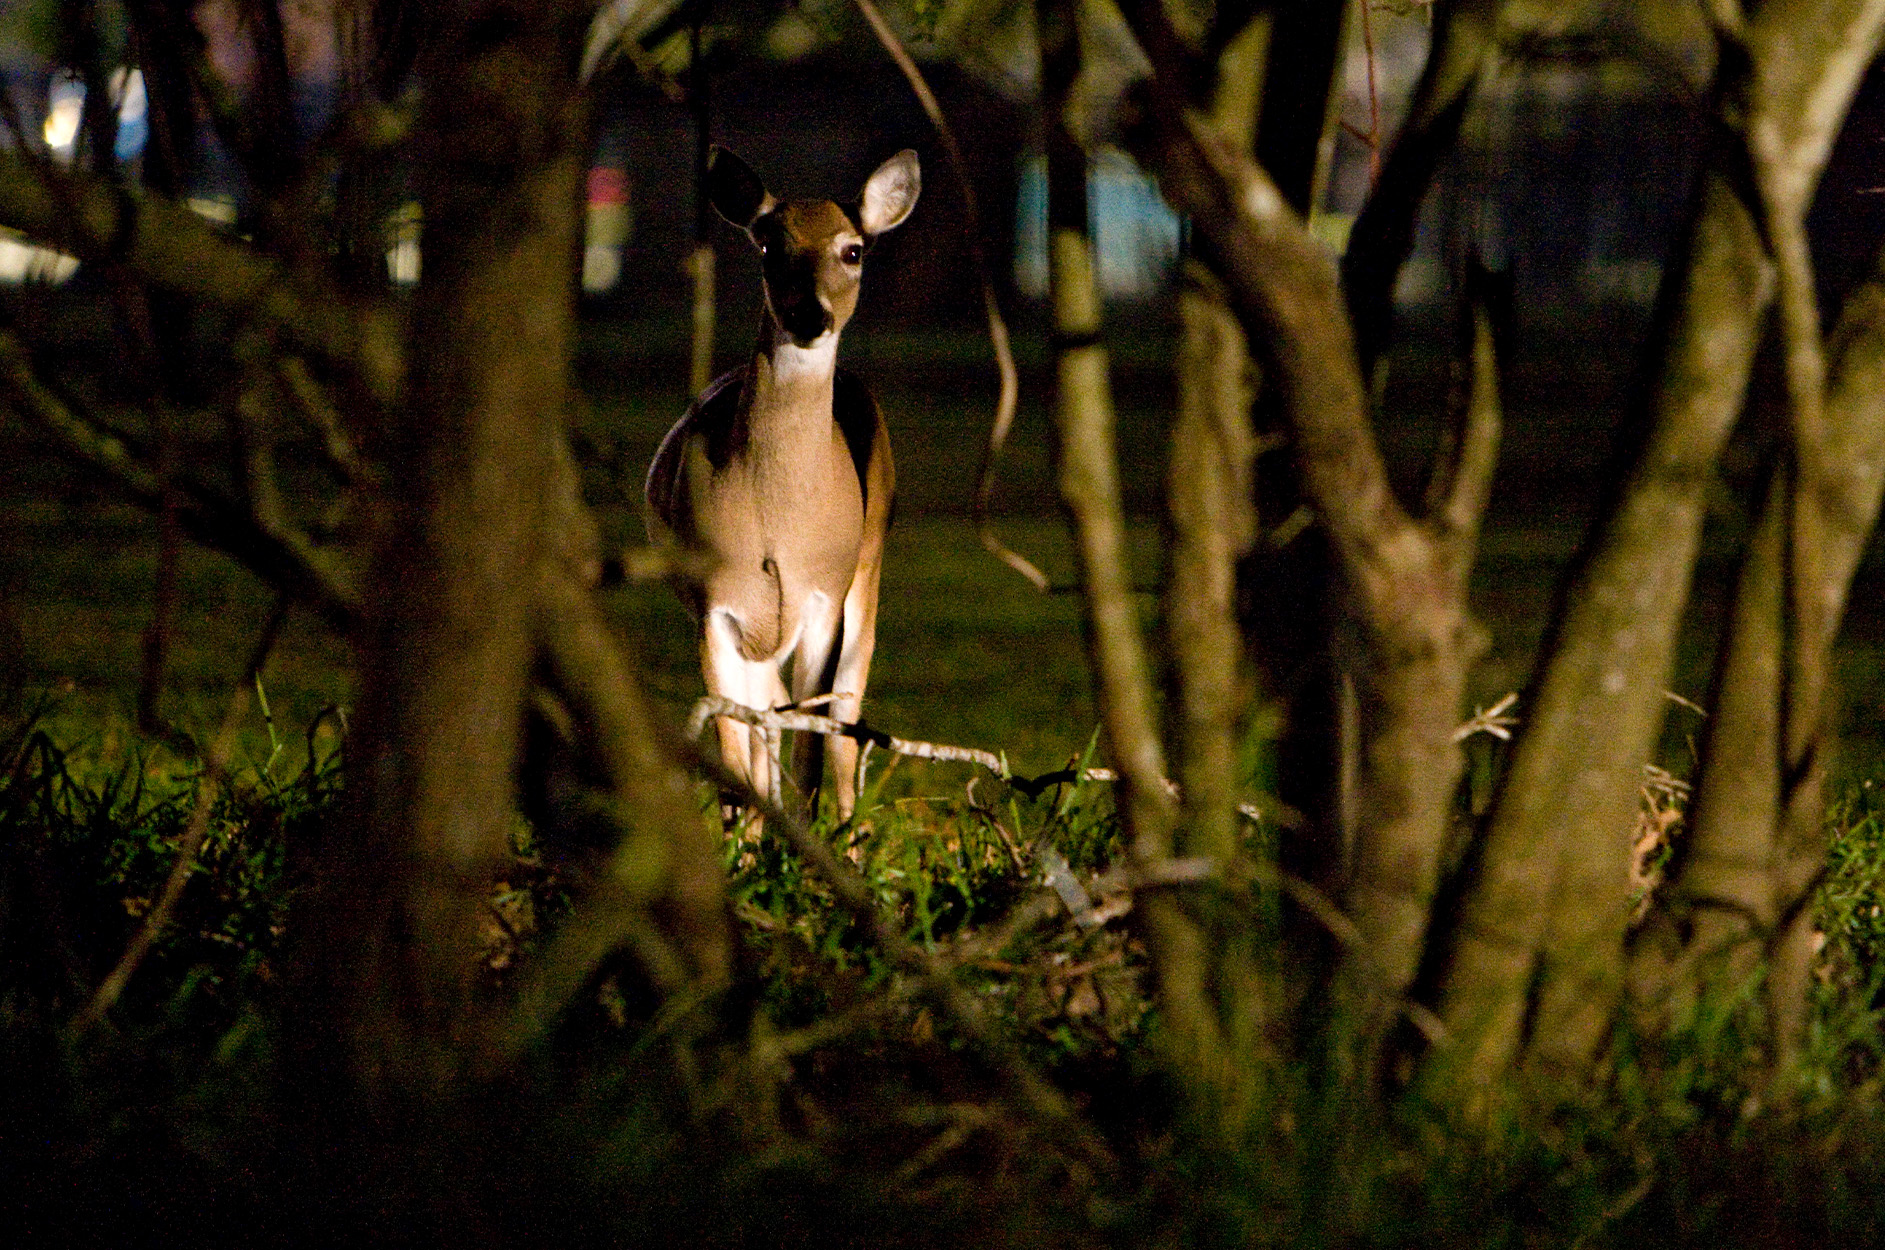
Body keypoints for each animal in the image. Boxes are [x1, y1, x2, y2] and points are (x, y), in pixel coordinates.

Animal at [644, 147, 916, 825]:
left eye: (853, 250)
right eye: (768, 244)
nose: (809, 315)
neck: (777, 519)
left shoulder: (824, 594)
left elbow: (814, 750)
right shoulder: (716, 602)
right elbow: (734, 757)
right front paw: (745, 848)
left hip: (867, 573)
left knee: (843, 732)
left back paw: (845, 835)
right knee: (766, 724)